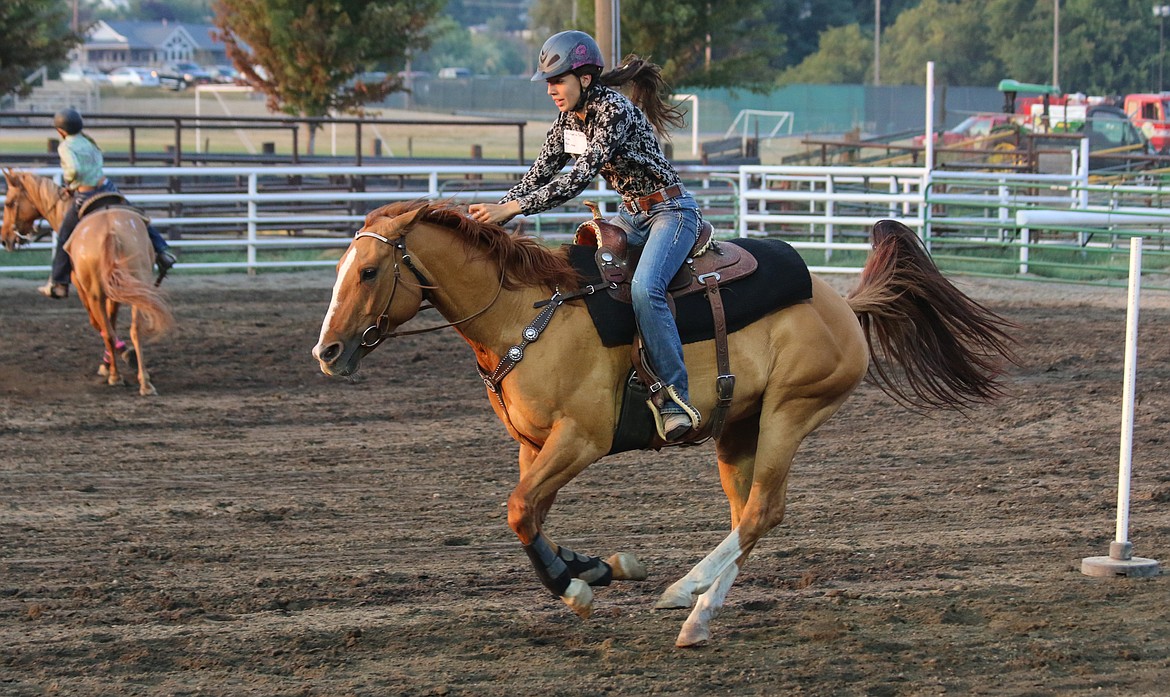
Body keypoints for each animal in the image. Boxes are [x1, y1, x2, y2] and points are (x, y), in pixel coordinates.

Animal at [1, 169, 173, 395]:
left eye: (9, 203)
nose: (5, 239)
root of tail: (110, 230)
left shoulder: (84, 289)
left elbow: (98, 323)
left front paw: (112, 361)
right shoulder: (115, 289)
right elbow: (111, 320)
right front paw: (121, 357)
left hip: (94, 292)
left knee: (106, 330)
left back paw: (115, 376)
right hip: (137, 280)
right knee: (135, 328)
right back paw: (144, 382)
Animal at [313, 201, 1015, 650]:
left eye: (369, 271)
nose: (327, 352)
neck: (527, 314)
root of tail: (841, 301)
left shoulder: (581, 440)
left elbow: (517, 510)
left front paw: (577, 586)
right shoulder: (532, 446)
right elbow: (529, 515)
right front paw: (595, 567)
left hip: (791, 410)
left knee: (763, 511)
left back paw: (686, 592)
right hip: (738, 431)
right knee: (748, 515)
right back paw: (698, 616)